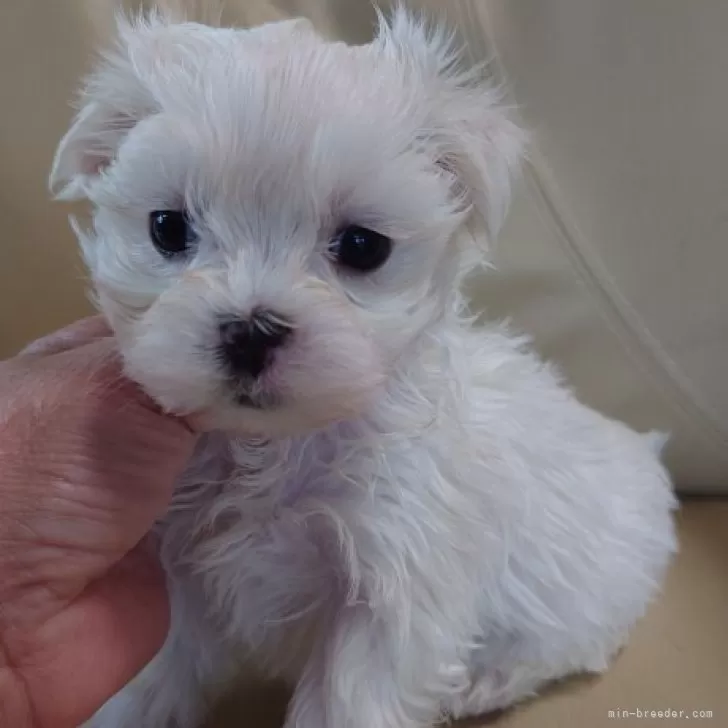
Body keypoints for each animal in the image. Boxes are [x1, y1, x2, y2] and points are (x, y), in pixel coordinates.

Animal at [51, 7, 676, 728]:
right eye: (167, 229)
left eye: (361, 246)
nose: (250, 332)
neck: (275, 447)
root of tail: (644, 455)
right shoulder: (176, 566)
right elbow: (153, 672)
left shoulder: (391, 587)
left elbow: (349, 699)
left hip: (587, 597)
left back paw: (484, 682)